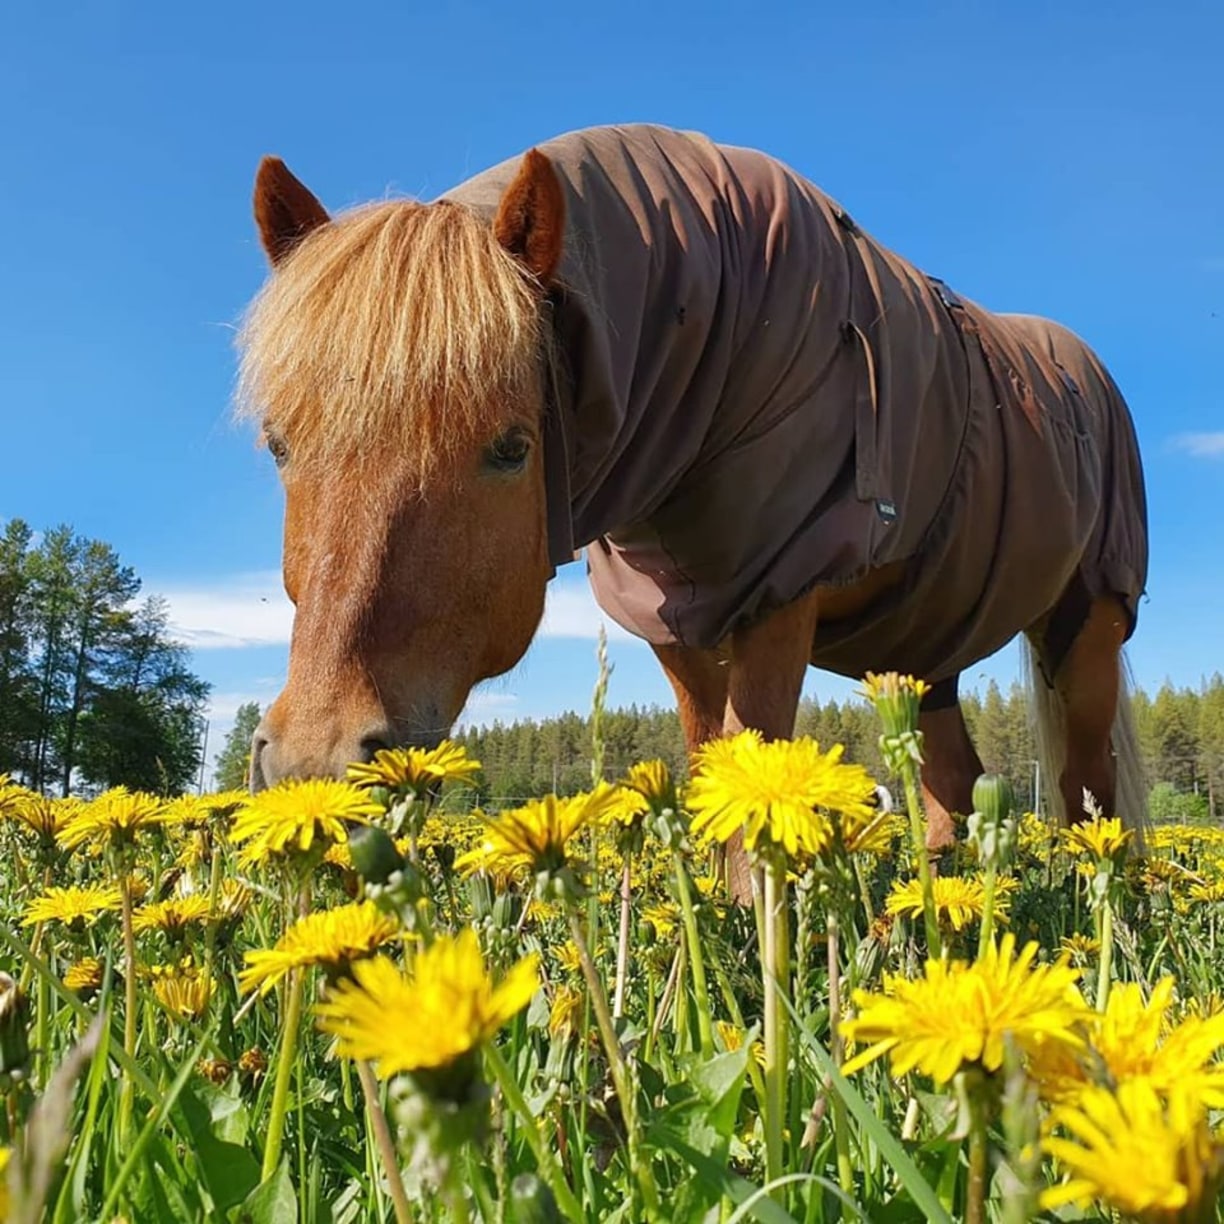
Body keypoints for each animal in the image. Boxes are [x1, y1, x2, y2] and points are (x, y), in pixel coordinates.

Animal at [236, 124, 1145, 895]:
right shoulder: (677, 619)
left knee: (1090, 790)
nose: (317, 756)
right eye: (278, 445)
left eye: (512, 447)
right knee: (952, 788)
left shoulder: (782, 593)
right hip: (927, 649)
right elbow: (715, 776)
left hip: (1087, 633)